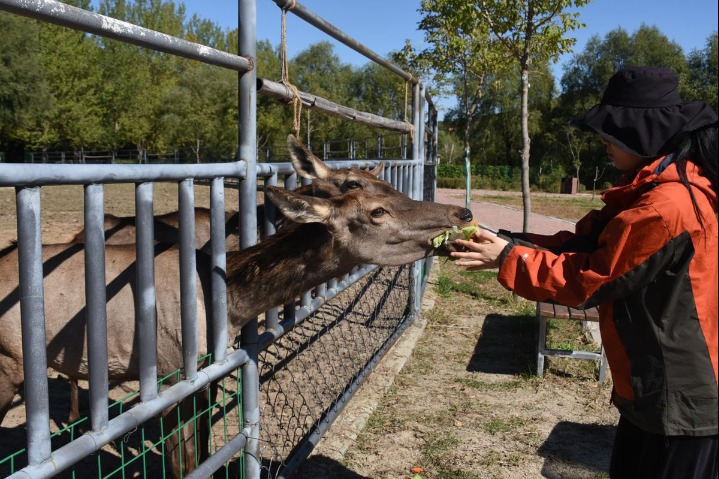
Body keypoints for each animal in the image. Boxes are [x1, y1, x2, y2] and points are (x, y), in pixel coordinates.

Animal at [0, 183, 476, 476]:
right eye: (378, 210)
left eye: (390, 190)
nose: (463, 211)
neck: (229, 305)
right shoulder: (171, 374)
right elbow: (185, 462)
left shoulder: (209, 368)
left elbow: (207, 449)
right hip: (7, 366)